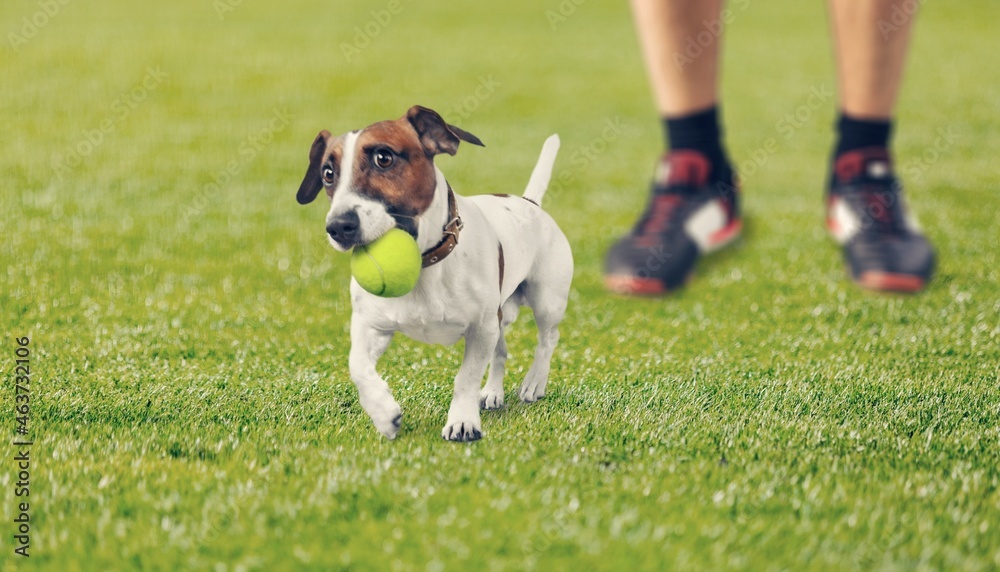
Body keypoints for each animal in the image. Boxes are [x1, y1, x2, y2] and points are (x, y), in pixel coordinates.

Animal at [292, 105, 572, 440]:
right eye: (328, 173)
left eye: (383, 158)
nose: (337, 227)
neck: (425, 266)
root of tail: (529, 203)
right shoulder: (369, 324)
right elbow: (357, 366)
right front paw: (384, 413)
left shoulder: (481, 328)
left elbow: (466, 378)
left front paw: (462, 421)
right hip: (500, 316)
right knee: (502, 351)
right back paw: (493, 392)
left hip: (546, 301)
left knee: (548, 339)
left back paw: (534, 383)